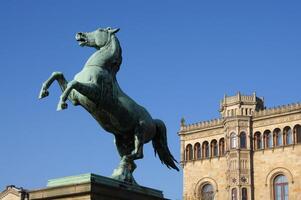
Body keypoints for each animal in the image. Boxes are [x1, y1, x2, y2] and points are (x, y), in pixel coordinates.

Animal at [38, 27, 177, 184]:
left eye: (100, 29)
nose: (79, 34)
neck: (99, 66)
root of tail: (153, 121)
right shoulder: (76, 98)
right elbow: (58, 74)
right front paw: (43, 92)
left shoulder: (93, 92)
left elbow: (72, 83)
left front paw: (61, 104)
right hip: (120, 140)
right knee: (133, 161)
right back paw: (122, 174)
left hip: (139, 132)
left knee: (138, 154)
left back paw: (124, 168)